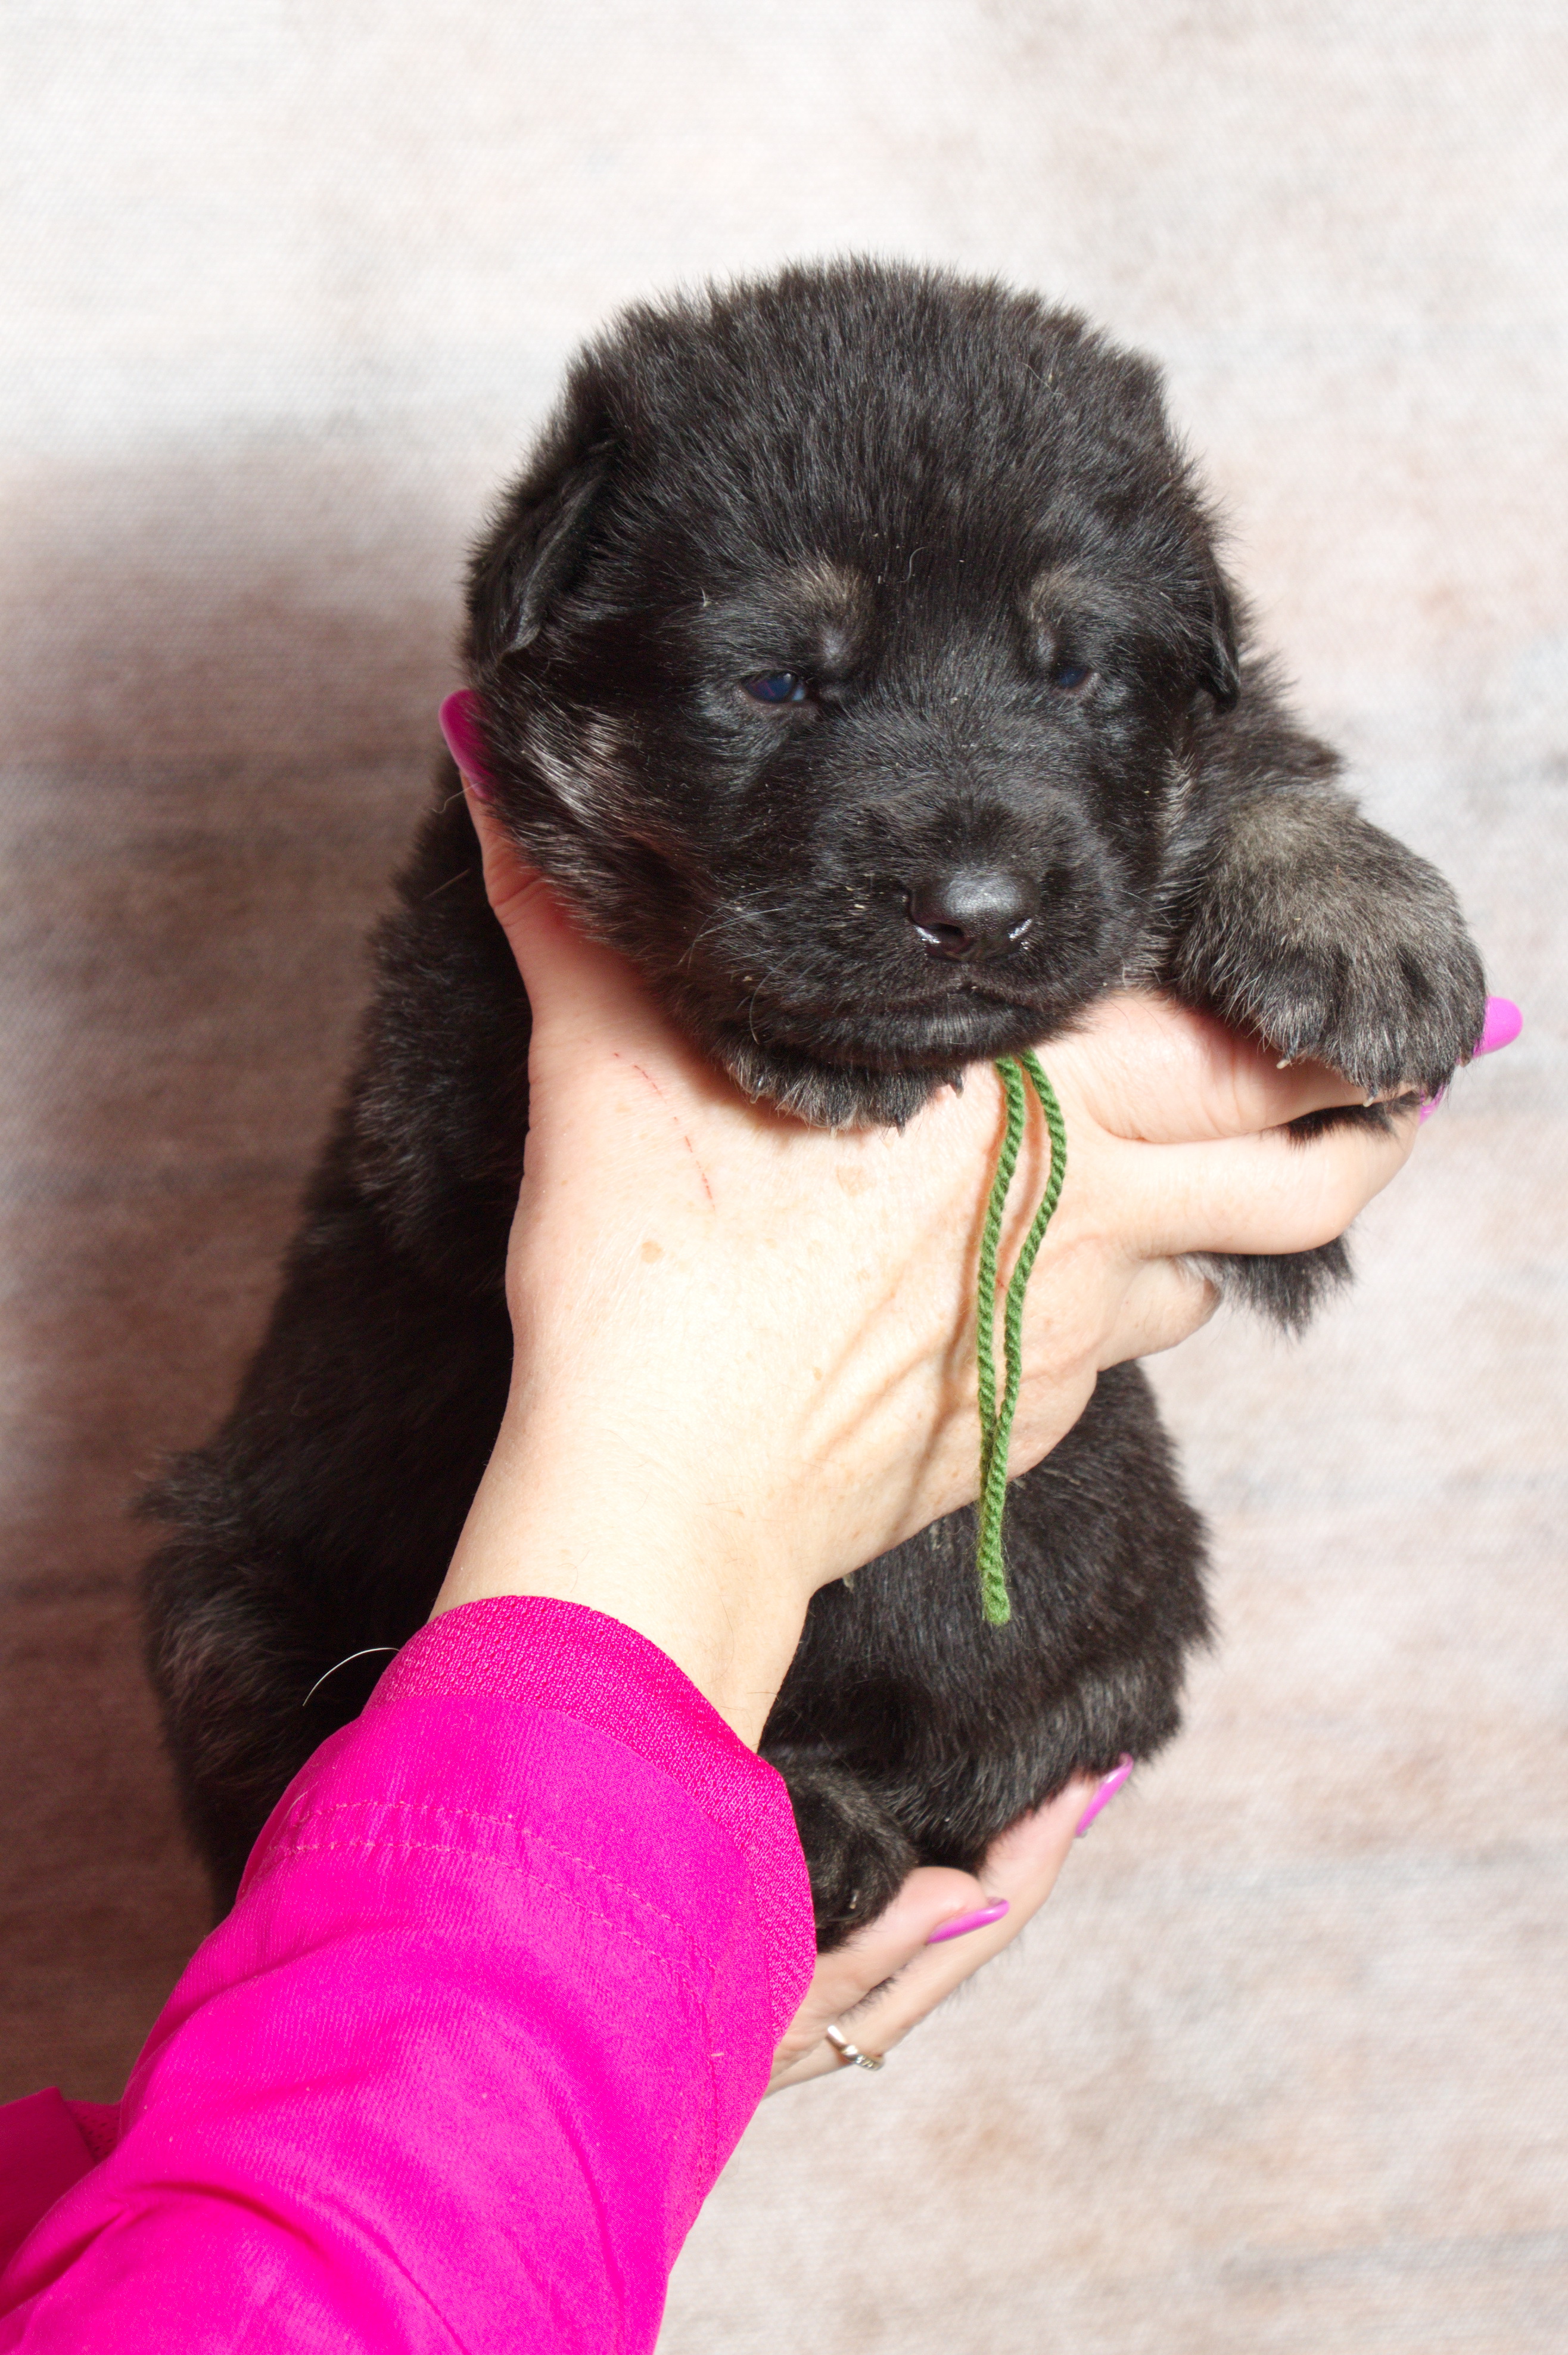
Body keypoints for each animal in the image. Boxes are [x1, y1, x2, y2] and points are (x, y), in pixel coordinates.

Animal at [143, 260, 1486, 1945]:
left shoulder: (1267, 1175)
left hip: (1130, 1559)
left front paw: (1344, 899)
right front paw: (838, 1039)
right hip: (221, 1583)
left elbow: (1245, 764)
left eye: (1075, 670)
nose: (973, 909)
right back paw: (808, 1817)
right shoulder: (443, 1088)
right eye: (779, 682)